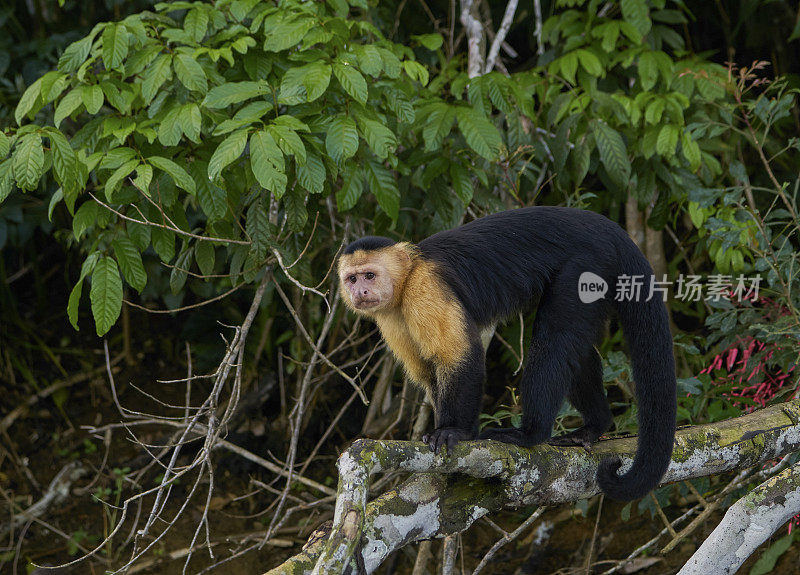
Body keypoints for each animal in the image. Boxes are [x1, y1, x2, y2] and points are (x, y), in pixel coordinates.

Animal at [338, 207, 676, 500]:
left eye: (369, 276)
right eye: (351, 279)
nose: (360, 292)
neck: (406, 277)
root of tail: (605, 227)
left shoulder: (426, 288)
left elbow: (460, 357)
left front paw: (455, 431)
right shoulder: (390, 316)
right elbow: (428, 373)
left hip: (587, 263)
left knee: (554, 340)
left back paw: (531, 433)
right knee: (574, 350)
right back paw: (594, 426)